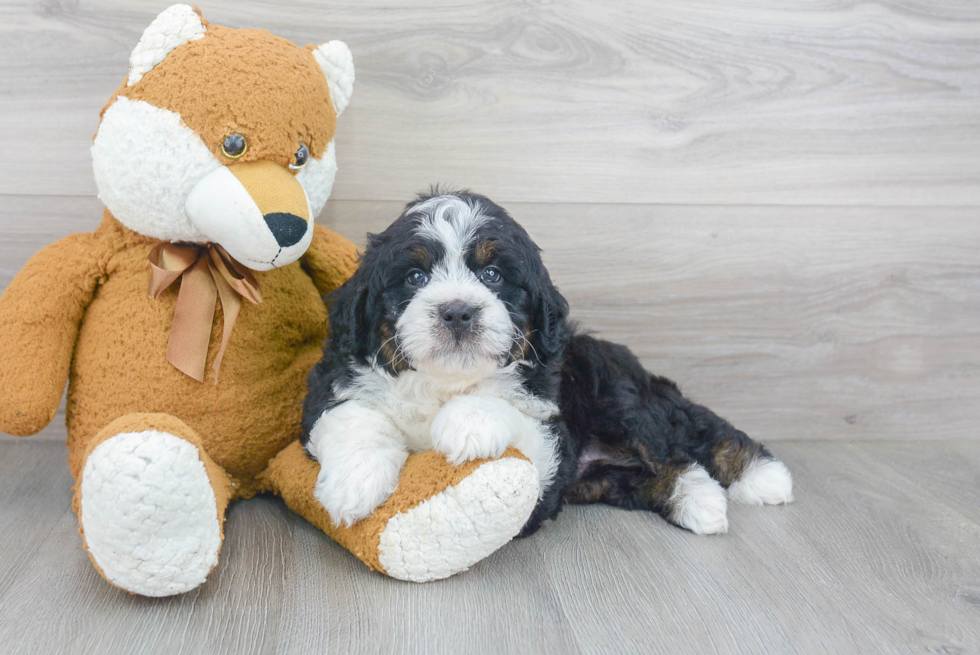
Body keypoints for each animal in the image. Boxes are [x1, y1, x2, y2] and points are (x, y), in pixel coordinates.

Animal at [302, 190, 792, 540]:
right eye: (415, 277)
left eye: (493, 275)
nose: (457, 312)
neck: (446, 383)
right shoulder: (331, 390)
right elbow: (353, 419)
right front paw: (353, 483)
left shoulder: (549, 438)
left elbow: (514, 420)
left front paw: (468, 422)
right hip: (599, 477)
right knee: (660, 470)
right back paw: (700, 500)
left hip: (619, 400)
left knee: (684, 439)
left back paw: (762, 478)